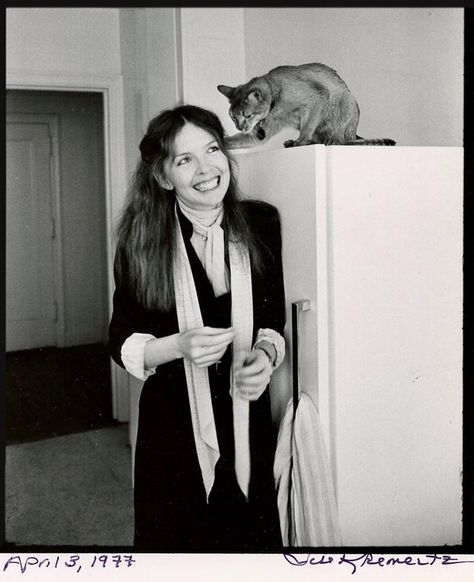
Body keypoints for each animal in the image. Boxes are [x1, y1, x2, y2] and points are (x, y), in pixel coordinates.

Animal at [218, 61, 396, 147]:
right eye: (233, 117)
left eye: (247, 115)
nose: (240, 127)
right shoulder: (260, 135)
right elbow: (236, 141)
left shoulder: (317, 97)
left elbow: (307, 126)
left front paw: (301, 141)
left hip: (347, 101)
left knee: (345, 140)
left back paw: (331, 139)